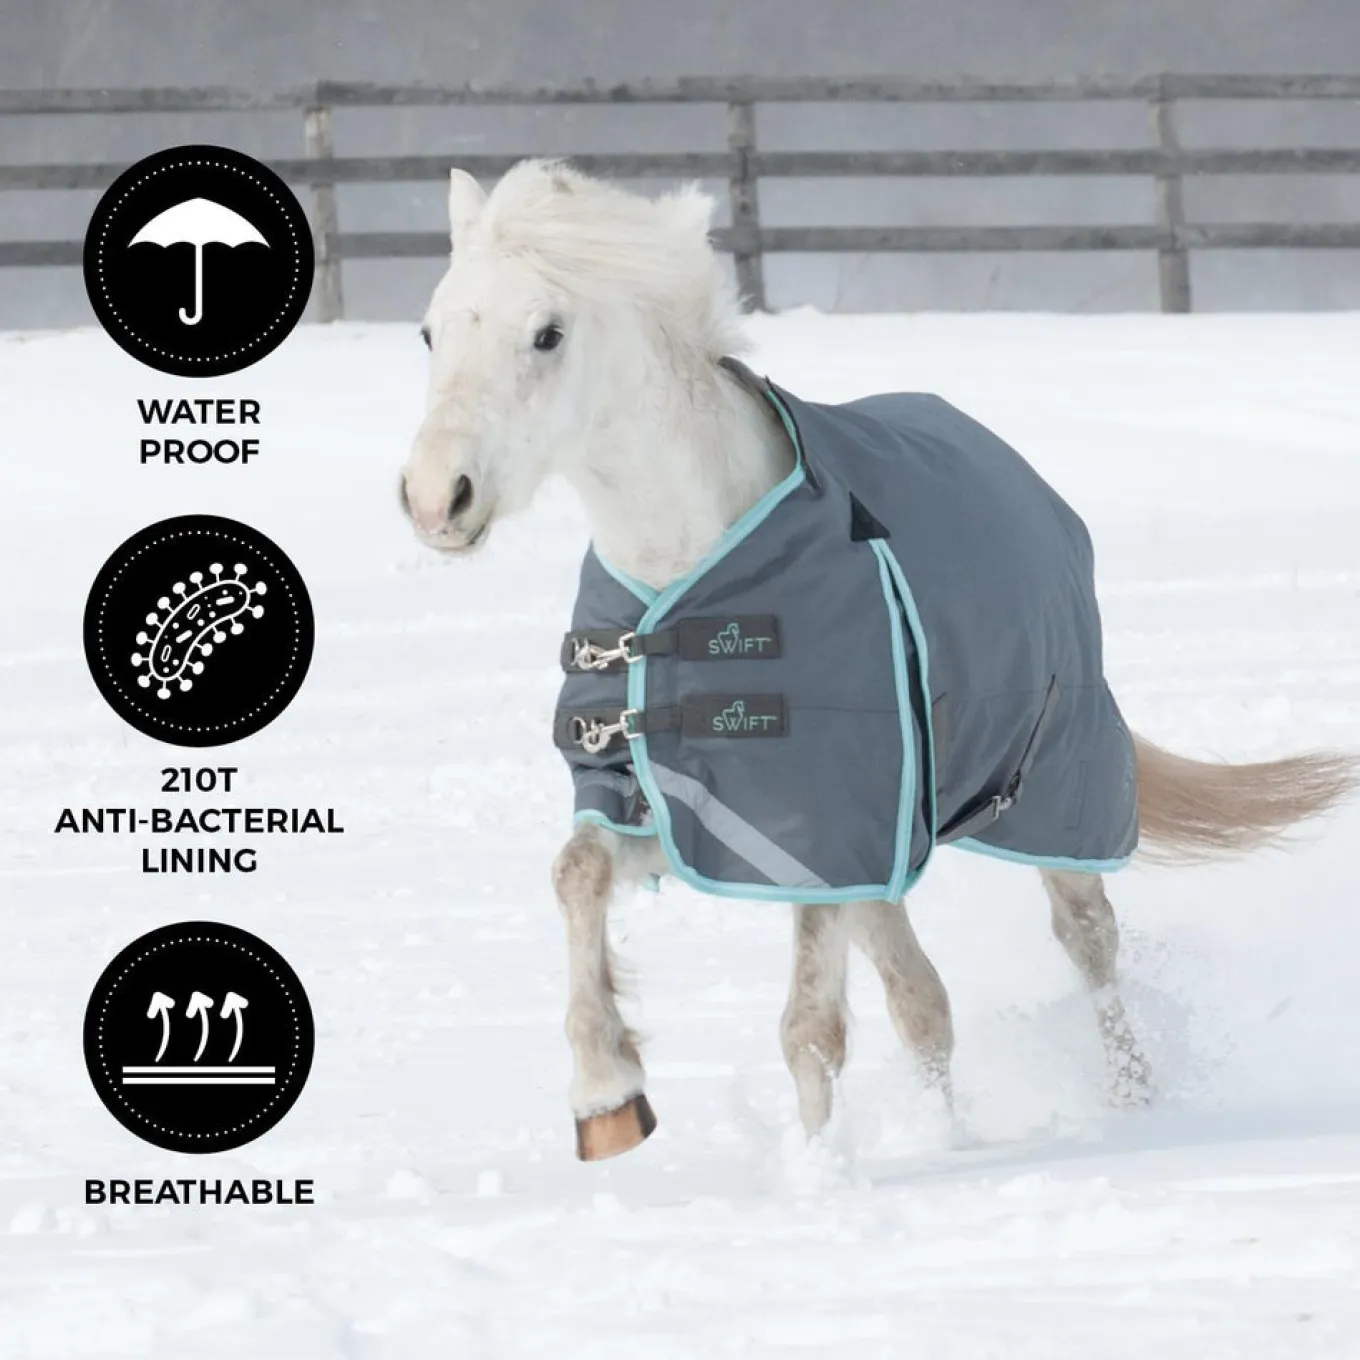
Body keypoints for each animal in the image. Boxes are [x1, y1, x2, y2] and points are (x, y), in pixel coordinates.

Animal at [400, 159, 1357, 1161]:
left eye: (546, 333)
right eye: (431, 329)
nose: (434, 499)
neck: (690, 568)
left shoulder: (824, 822)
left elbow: (829, 1024)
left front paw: (849, 1167)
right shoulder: (692, 807)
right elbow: (581, 877)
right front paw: (609, 1094)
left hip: (1057, 790)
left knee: (1087, 939)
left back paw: (1133, 1101)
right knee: (923, 989)